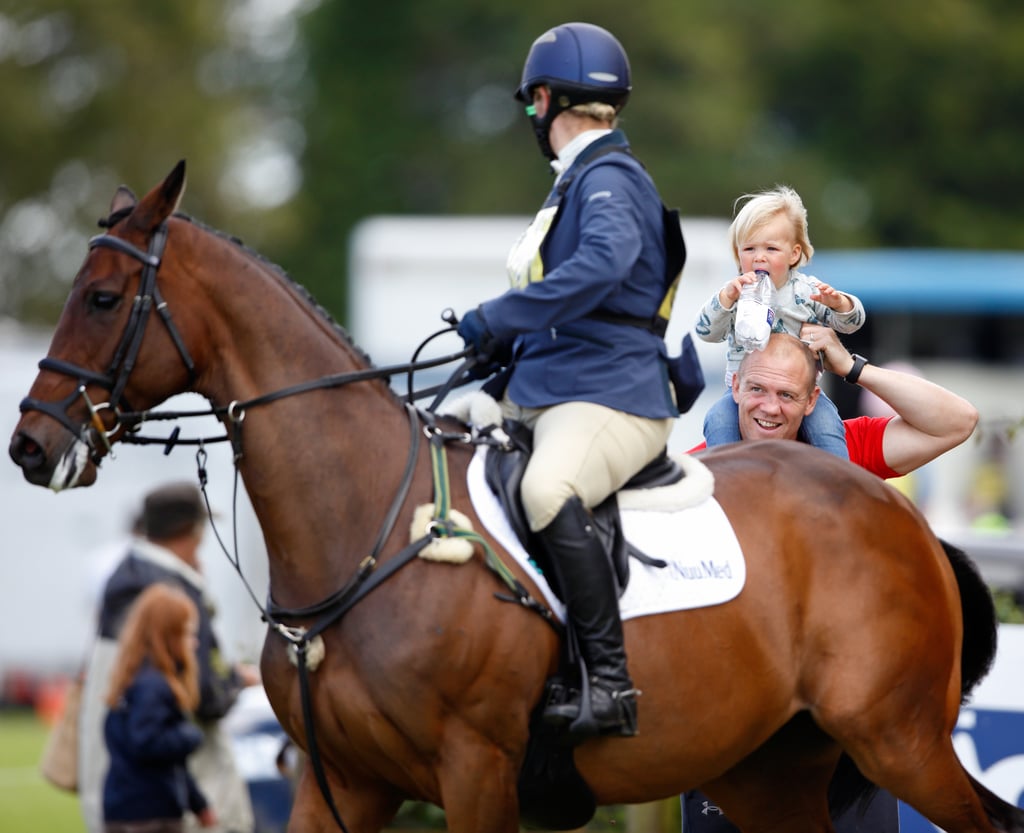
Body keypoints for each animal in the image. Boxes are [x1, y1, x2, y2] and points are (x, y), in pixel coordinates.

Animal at [8, 158, 1024, 827]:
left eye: (102, 298)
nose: (30, 443)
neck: (367, 528)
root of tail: (900, 514)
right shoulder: (342, 784)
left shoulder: (476, 773)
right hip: (772, 768)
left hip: (898, 738)